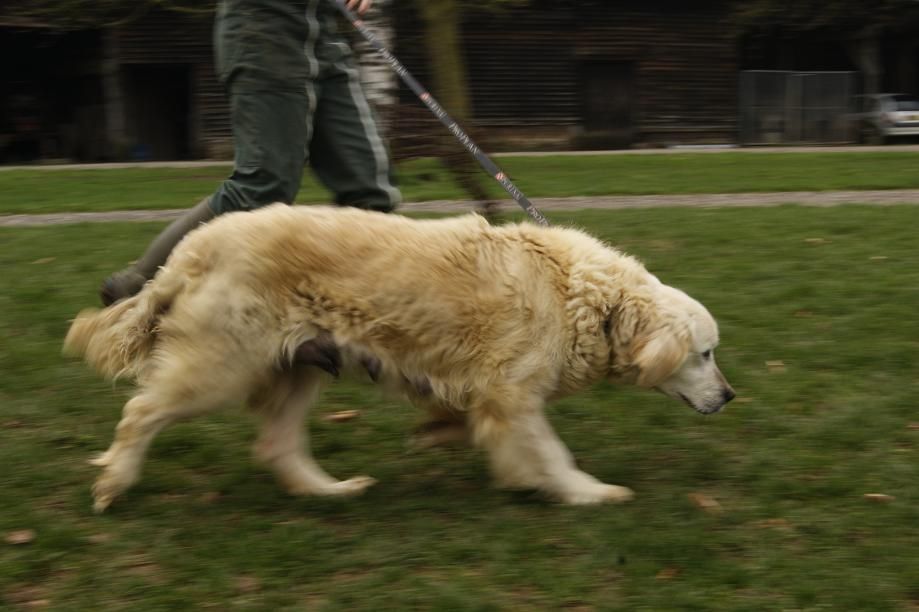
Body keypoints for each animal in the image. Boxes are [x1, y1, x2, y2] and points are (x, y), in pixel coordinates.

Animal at [64, 206, 736, 512]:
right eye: (704, 355)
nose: (730, 397)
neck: (583, 296)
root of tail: (186, 252)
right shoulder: (513, 394)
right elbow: (551, 452)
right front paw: (585, 492)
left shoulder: (494, 395)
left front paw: (446, 435)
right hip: (221, 367)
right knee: (140, 413)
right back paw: (113, 481)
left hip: (299, 367)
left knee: (277, 445)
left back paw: (331, 491)